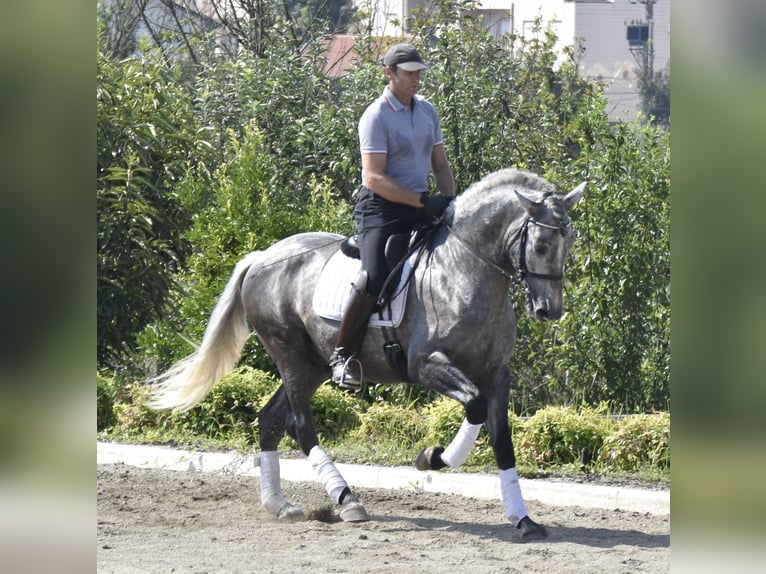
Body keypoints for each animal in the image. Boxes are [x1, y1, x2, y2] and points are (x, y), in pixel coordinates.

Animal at [149, 168, 585, 541]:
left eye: (570, 243)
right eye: (541, 244)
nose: (549, 310)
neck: (466, 269)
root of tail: (262, 257)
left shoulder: (496, 373)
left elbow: (501, 438)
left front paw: (523, 519)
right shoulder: (427, 365)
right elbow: (474, 407)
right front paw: (432, 457)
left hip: (312, 364)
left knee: (270, 420)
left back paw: (280, 506)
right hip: (289, 353)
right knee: (301, 427)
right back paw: (347, 500)